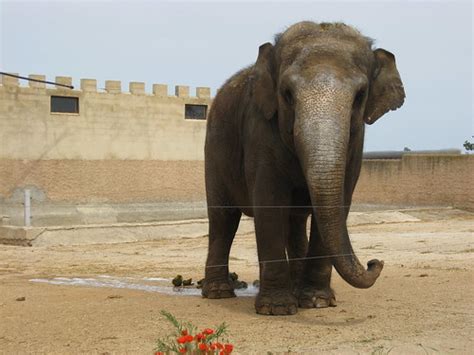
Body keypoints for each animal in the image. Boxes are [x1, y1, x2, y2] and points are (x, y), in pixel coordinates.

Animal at [202, 21, 406, 318]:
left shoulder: (356, 143)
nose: (375, 262)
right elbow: (270, 203)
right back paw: (218, 293)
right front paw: (277, 309)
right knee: (223, 218)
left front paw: (316, 301)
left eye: (360, 96)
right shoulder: (260, 129)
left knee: (295, 221)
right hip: (214, 149)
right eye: (287, 94)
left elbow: (339, 202)